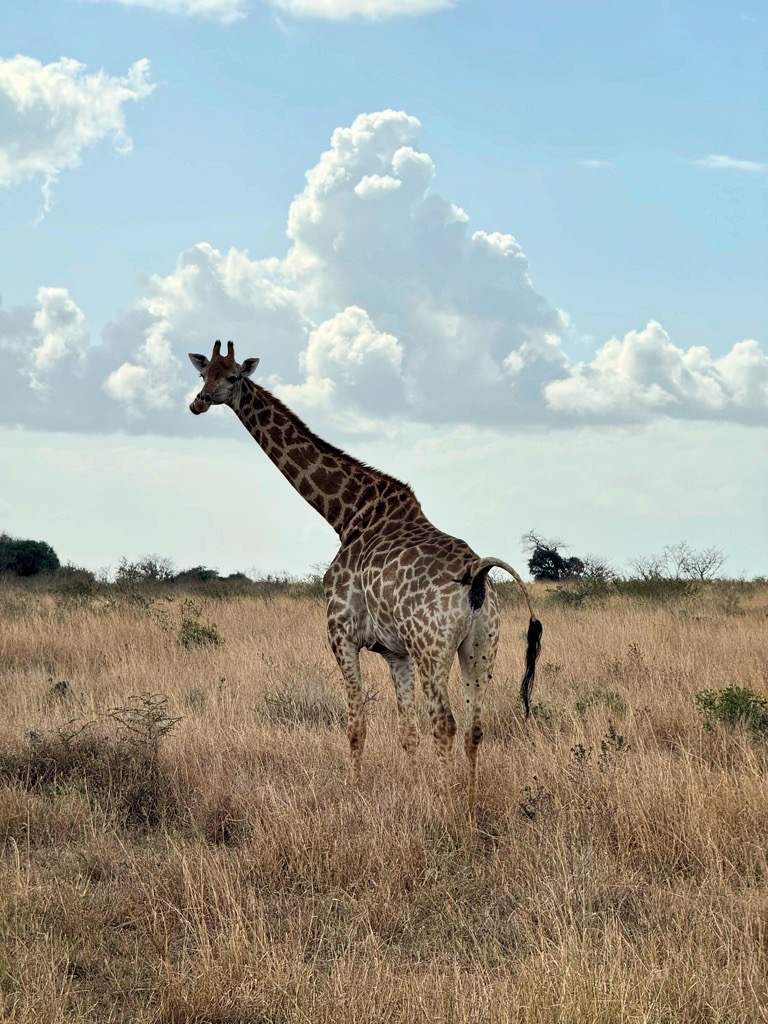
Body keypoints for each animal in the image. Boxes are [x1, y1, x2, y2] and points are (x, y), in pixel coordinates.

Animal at [190, 339, 544, 811]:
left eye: (231, 377)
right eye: (202, 374)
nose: (198, 402)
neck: (347, 514)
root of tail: (477, 573)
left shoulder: (341, 632)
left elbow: (356, 723)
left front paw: (354, 793)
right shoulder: (396, 652)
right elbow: (406, 730)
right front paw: (414, 791)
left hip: (433, 648)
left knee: (445, 722)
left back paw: (449, 806)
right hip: (481, 647)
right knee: (473, 726)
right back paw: (468, 804)